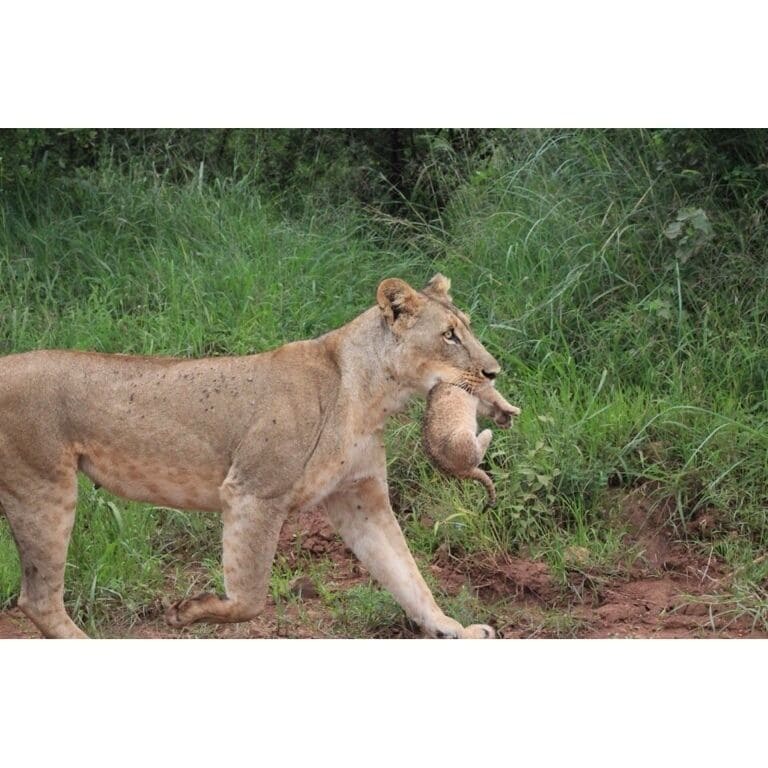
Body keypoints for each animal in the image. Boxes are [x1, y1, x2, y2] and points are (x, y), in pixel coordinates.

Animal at [0, 273, 519, 639]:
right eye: (449, 335)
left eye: (466, 329)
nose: (494, 371)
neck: (371, 395)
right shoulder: (253, 491)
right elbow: (250, 594)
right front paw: (187, 614)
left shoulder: (359, 497)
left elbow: (406, 574)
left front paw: (454, 628)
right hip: (42, 487)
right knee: (39, 599)